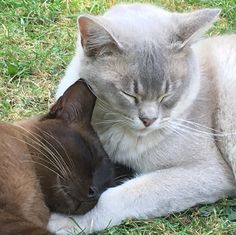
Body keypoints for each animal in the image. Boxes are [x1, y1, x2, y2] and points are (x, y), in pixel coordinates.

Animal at [48, 2, 236, 234]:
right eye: (129, 95)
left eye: (167, 94)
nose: (149, 120)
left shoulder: (208, 170)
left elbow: (124, 194)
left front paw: (66, 220)